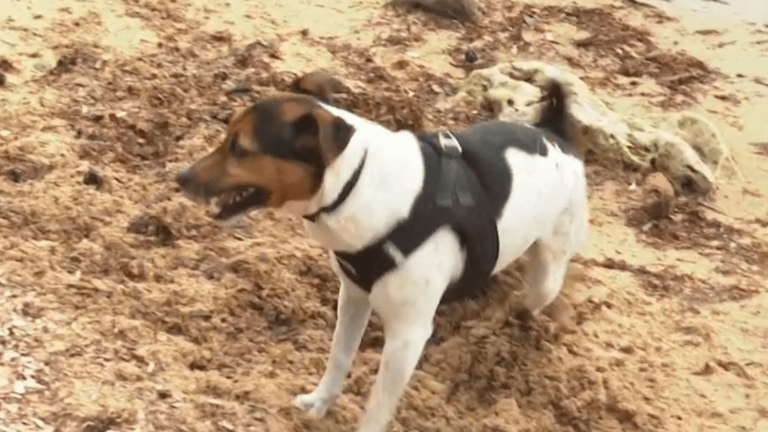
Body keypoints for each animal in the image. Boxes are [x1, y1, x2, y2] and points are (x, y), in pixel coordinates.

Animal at [177, 71, 592, 432]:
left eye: (240, 149)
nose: (180, 177)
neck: (355, 182)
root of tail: (554, 133)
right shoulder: (353, 297)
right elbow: (340, 356)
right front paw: (319, 403)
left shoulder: (407, 337)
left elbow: (377, 405)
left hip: (547, 272)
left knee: (534, 297)